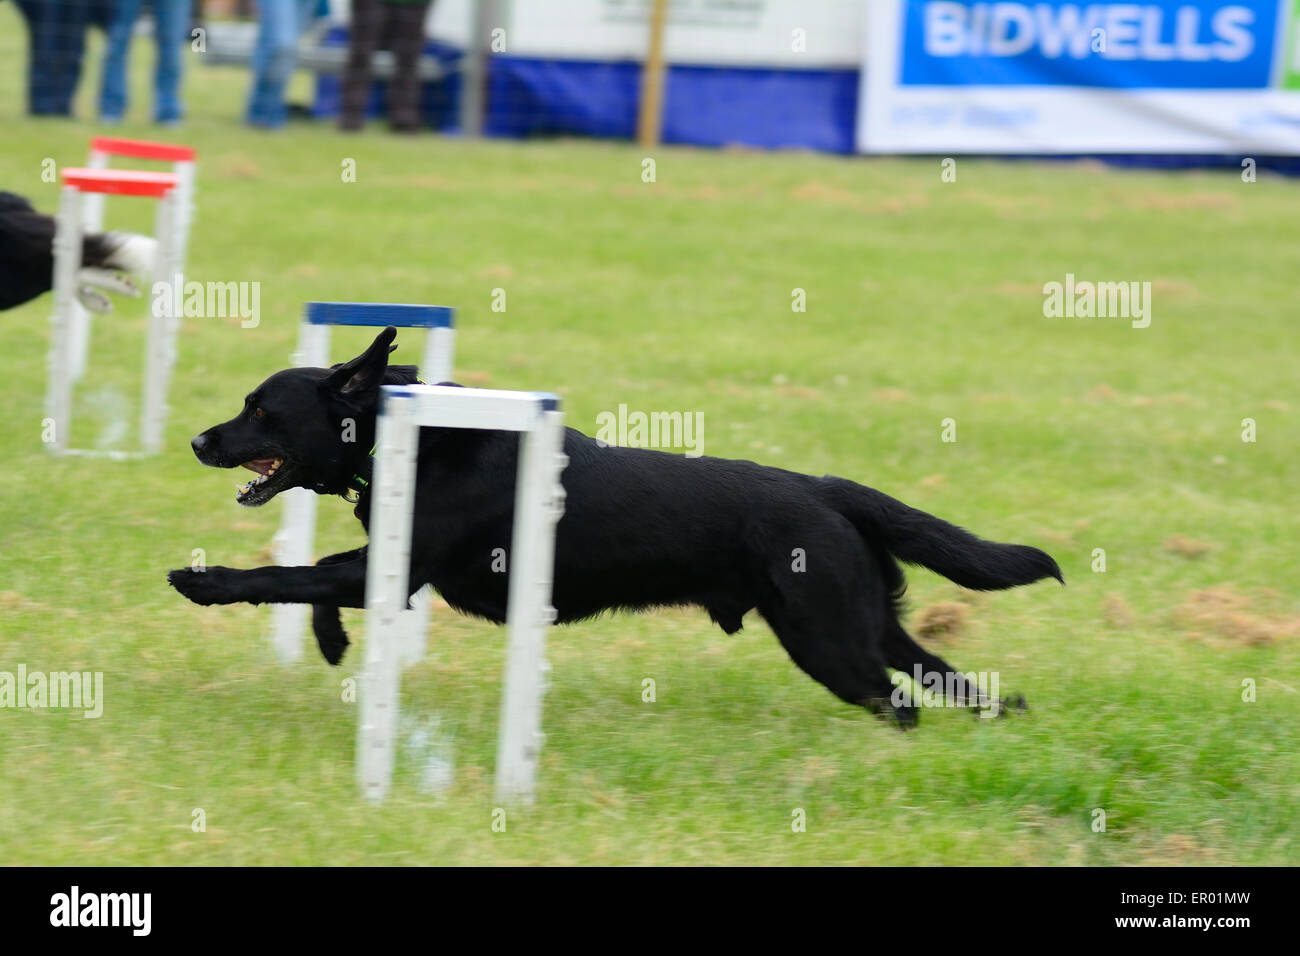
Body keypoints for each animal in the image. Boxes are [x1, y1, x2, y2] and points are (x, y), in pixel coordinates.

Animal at [167, 329, 1060, 723]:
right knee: (945, 678)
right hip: (870, 624)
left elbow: (287, 574)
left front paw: (202, 581)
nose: (198, 440)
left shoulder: (399, 563)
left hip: (830, 639)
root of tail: (830, 490)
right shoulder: (382, 565)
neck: (409, 433)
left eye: (261, 411)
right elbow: (314, 577)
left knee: (898, 701)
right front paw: (331, 644)